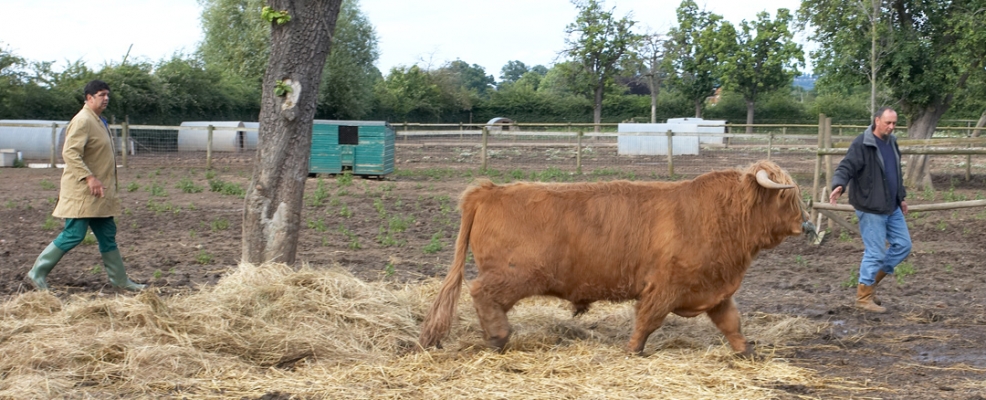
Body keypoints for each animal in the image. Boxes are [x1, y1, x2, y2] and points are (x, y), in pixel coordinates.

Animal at [418, 160, 814, 355]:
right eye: (786, 197)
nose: (807, 224)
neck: (722, 216)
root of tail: (489, 191)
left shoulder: (715, 290)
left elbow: (732, 324)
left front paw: (746, 351)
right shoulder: (665, 286)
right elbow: (648, 320)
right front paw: (633, 350)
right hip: (514, 275)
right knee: (481, 293)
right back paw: (499, 338)